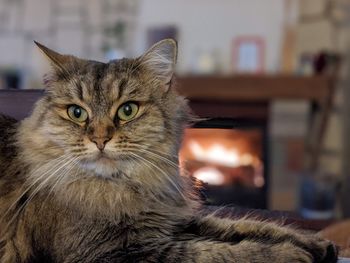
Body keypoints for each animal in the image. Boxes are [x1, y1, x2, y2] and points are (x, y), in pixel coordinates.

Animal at [0, 39, 340, 263]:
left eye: (127, 110)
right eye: (76, 113)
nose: (100, 139)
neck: (128, 189)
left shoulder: (173, 221)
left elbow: (245, 225)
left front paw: (316, 245)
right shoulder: (122, 252)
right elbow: (224, 251)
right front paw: (292, 253)